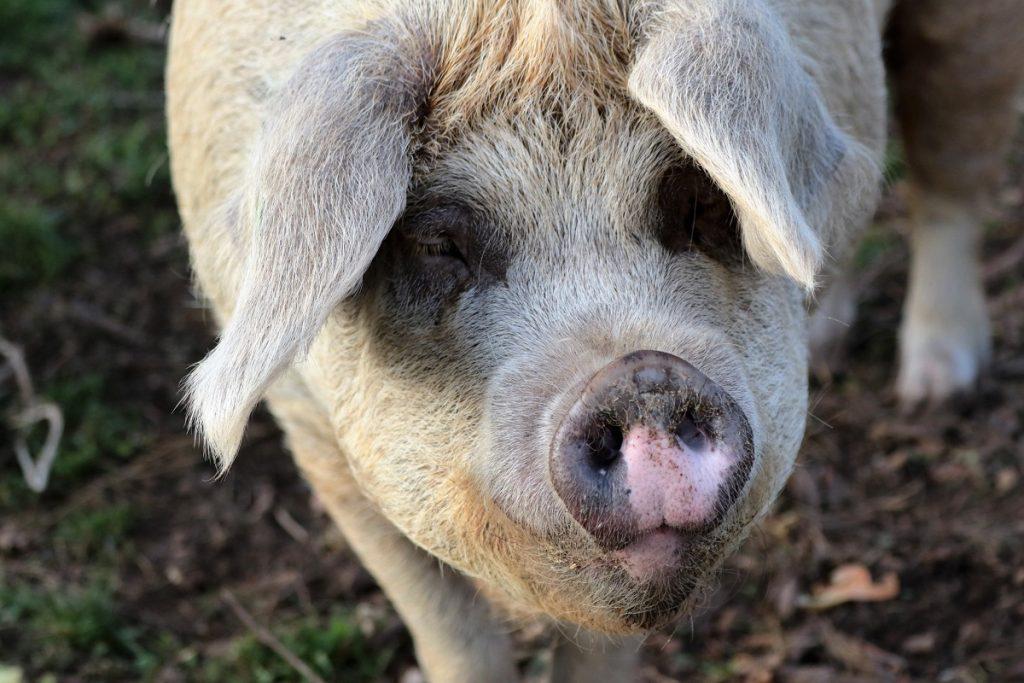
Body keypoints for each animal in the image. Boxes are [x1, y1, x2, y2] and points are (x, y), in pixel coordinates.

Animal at [166, 0, 1024, 679]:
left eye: (697, 200)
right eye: (439, 241)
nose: (643, 377)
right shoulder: (314, 439)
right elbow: (457, 640)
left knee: (950, 167)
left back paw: (936, 385)